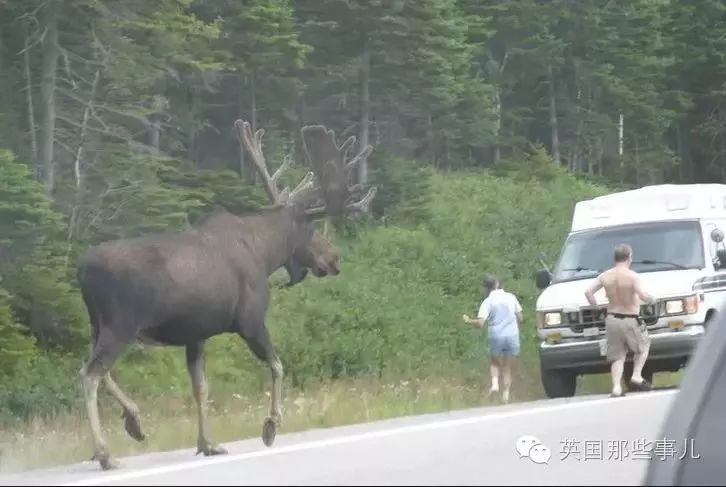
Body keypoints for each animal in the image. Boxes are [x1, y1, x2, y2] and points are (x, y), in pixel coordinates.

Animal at [77, 117, 378, 468]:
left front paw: (207, 442)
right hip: (120, 325)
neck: (265, 254)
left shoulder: (195, 336)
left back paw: (135, 422)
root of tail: (81, 269)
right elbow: (278, 365)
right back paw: (105, 452)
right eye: (313, 228)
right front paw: (271, 425)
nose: (334, 259)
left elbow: (201, 387)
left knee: (96, 370)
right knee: (90, 373)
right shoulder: (251, 321)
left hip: (97, 324)